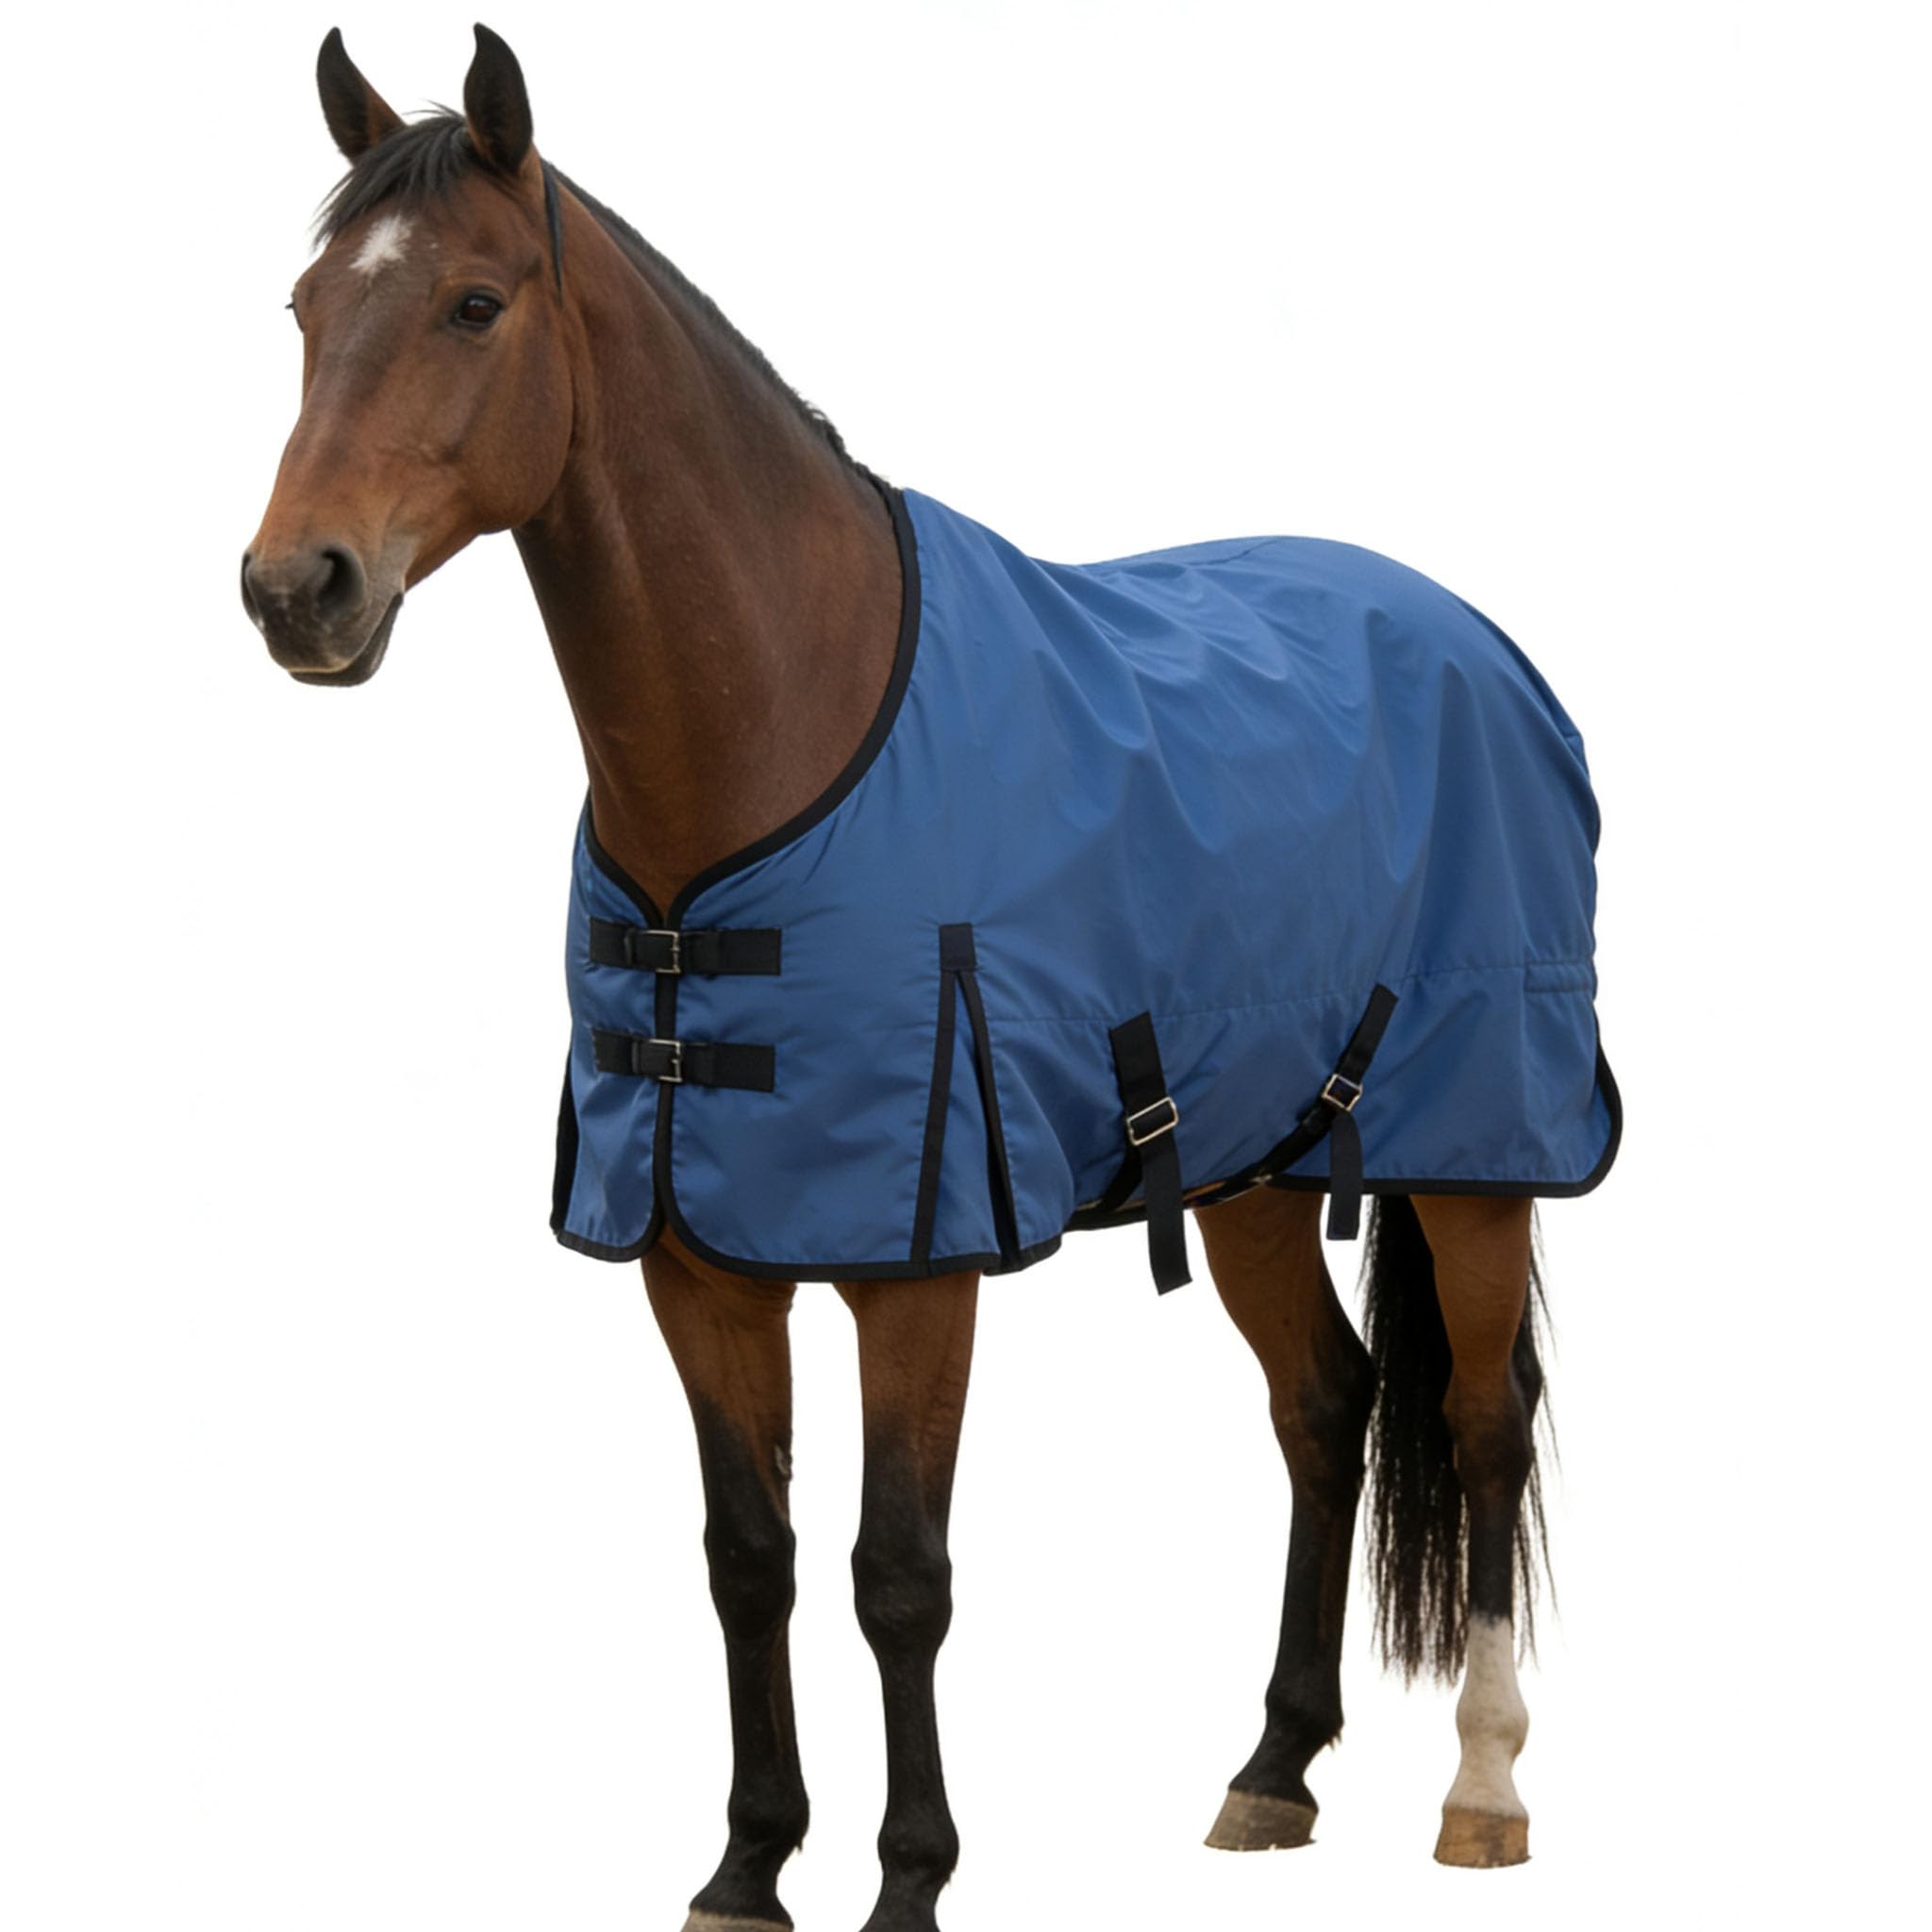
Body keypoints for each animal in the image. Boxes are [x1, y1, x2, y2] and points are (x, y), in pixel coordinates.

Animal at [243, 26, 1611, 1927]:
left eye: (471, 302)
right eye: (307, 308)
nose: (295, 590)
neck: (773, 740)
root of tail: (1474, 637)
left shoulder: (918, 1260)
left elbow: (899, 1570)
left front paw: (906, 1879)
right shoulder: (700, 1260)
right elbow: (748, 1555)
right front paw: (746, 1865)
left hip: (1478, 1147)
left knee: (1482, 1420)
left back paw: (1480, 1788)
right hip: (1257, 1163)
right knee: (1325, 1405)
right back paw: (1272, 1767)